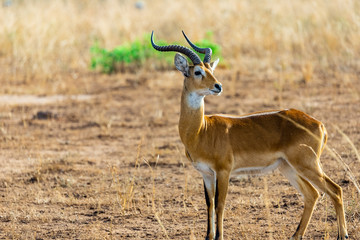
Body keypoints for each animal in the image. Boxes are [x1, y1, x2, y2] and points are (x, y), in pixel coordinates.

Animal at [150, 31, 348, 240]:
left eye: (210, 69)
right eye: (197, 72)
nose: (218, 86)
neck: (200, 131)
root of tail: (319, 124)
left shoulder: (223, 171)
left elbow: (220, 204)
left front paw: (219, 236)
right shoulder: (206, 174)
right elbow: (209, 204)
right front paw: (208, 236)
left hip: (306, 164)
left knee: (335, 190)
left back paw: (342, 234)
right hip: (288, 167)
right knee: (312, 194)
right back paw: (296, 235)